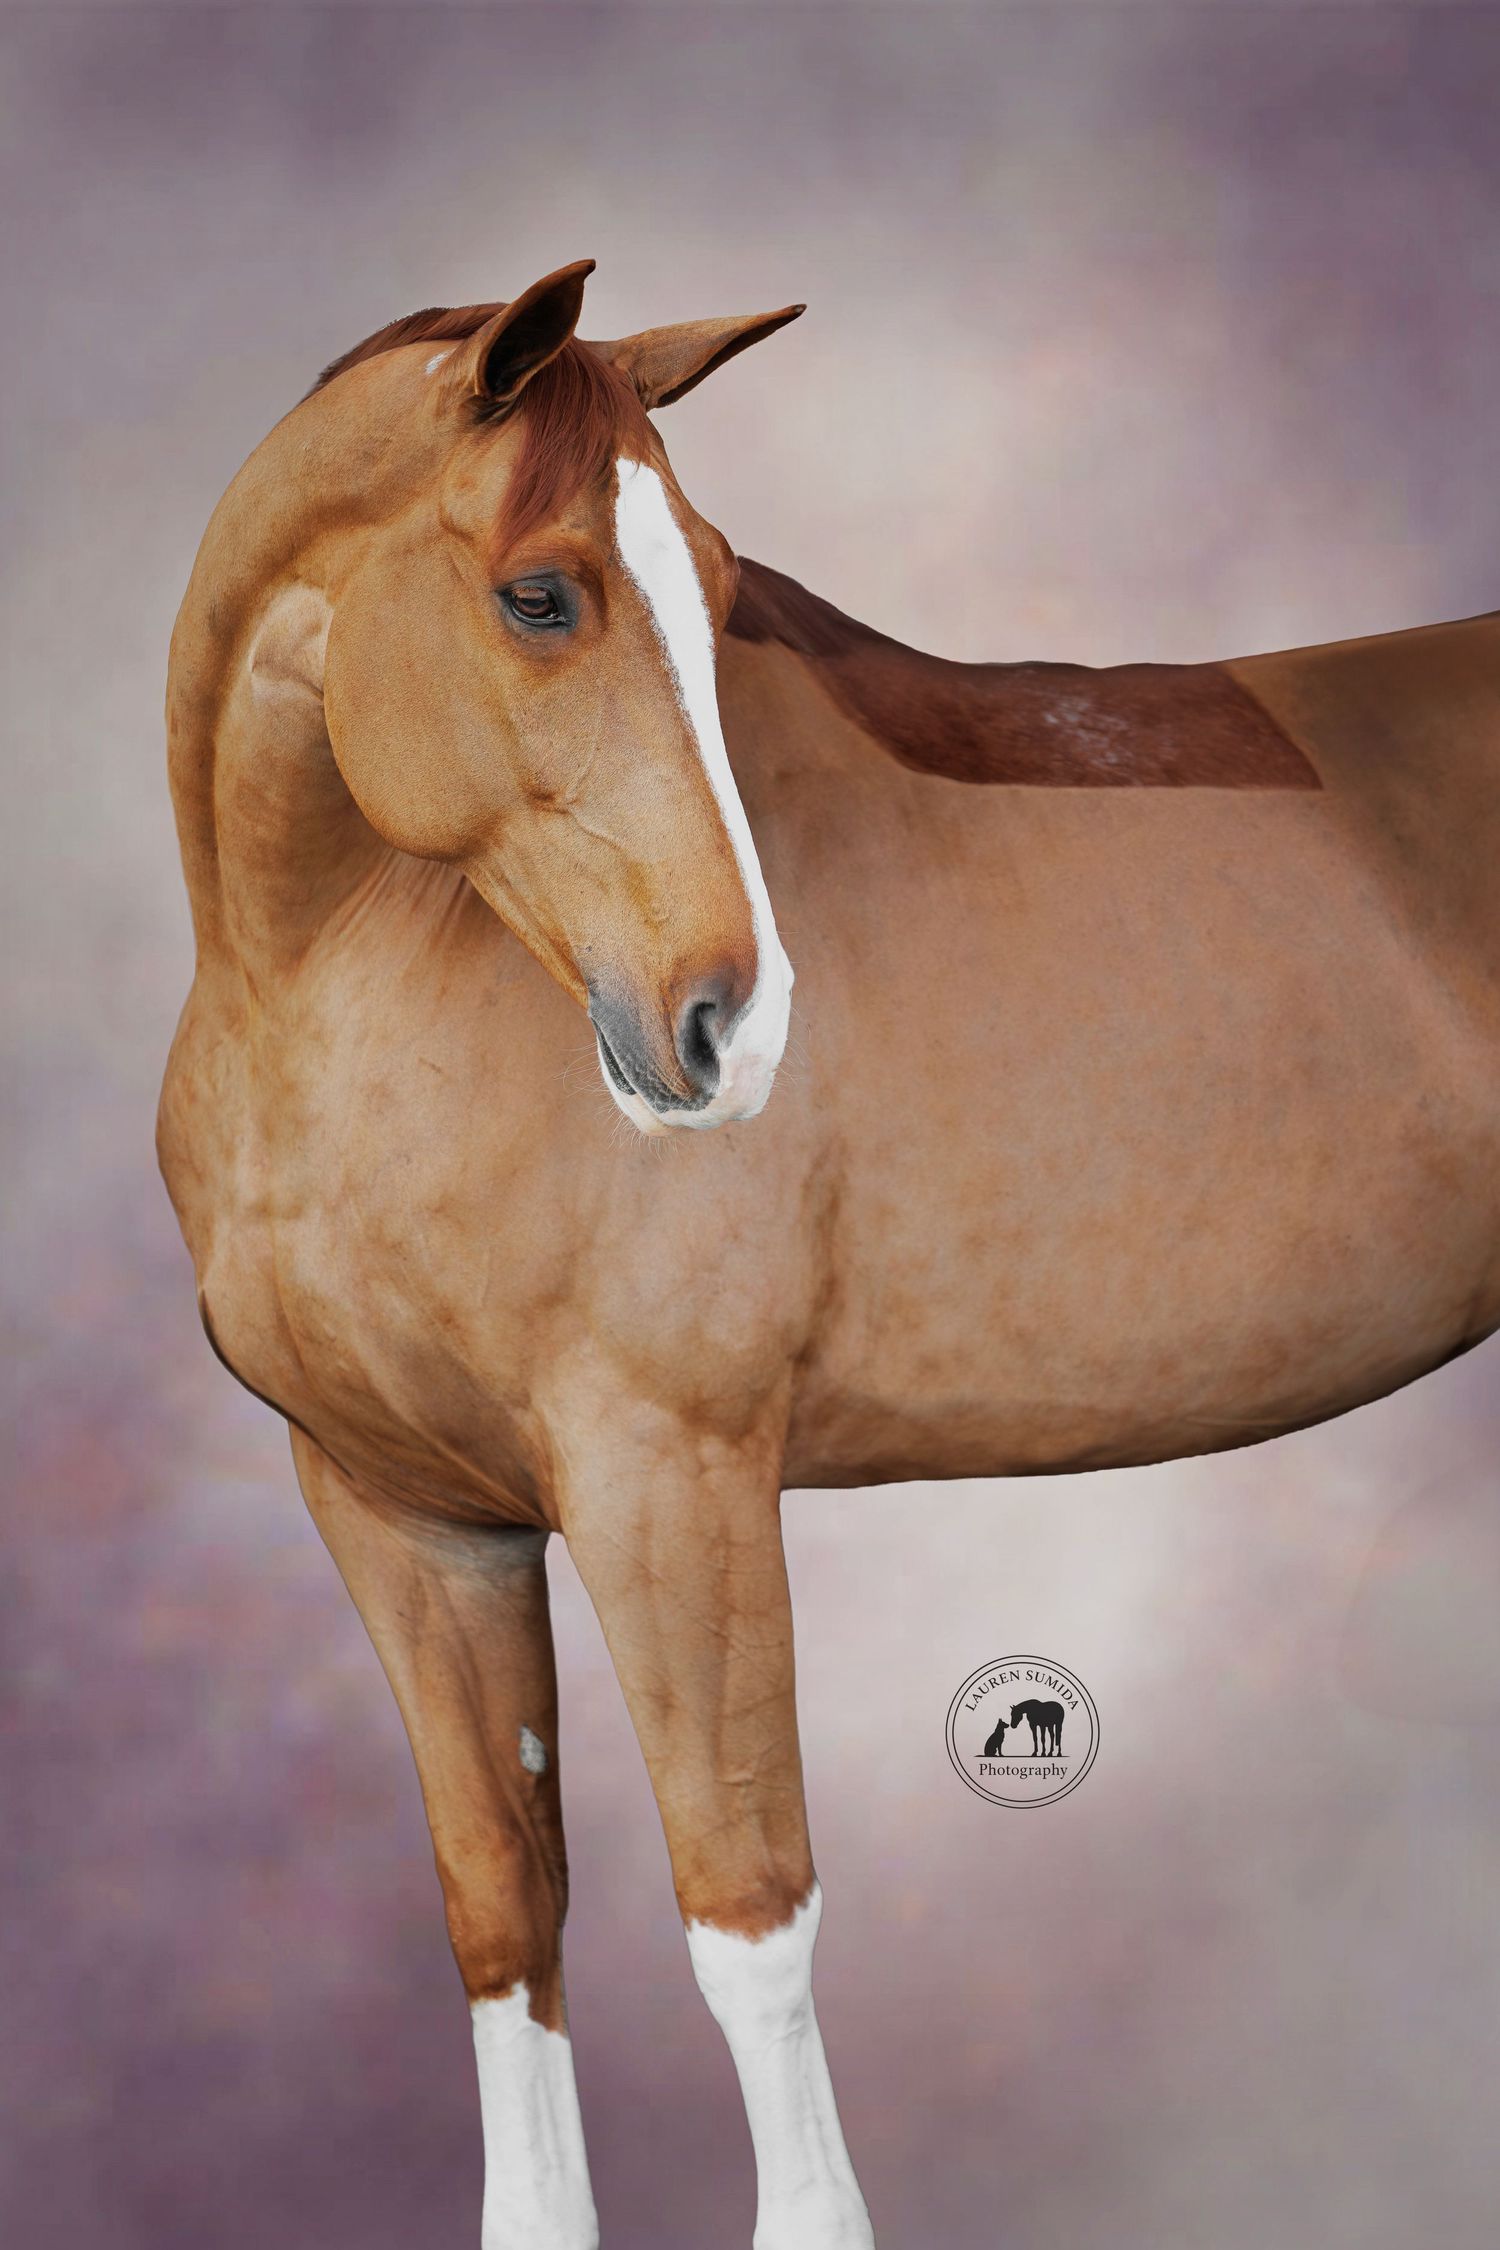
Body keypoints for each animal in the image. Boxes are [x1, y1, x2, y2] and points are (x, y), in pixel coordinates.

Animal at [157, 258, 1500, 2249]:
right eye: (541, 592)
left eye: (719, 587)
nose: (736, 1024)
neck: (341, 985)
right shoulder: (402, 1512)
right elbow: (503, 1908)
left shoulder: (673, 1482)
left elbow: (747, 1919)